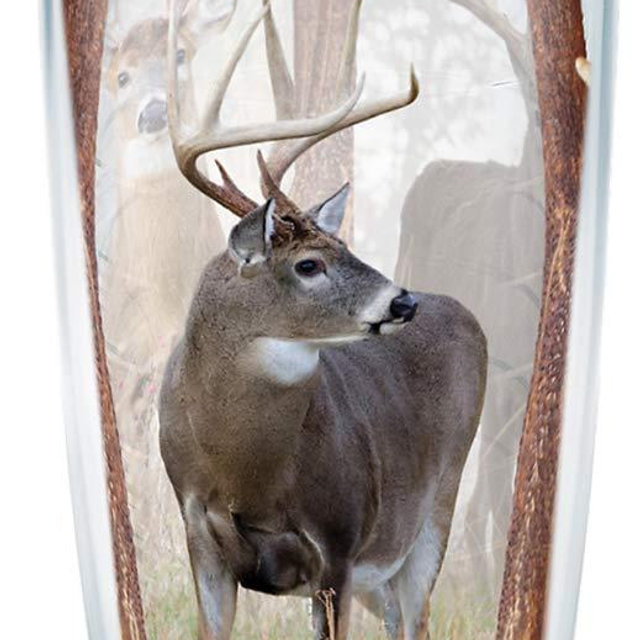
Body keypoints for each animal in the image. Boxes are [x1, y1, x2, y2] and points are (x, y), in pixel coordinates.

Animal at [159, 1, 487, 639]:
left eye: (343, 244)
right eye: (309, 263)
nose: (402, 302)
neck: (245, 474)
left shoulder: (341, 541)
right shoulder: (199, 536)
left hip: (432, 511)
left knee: (418, 617)